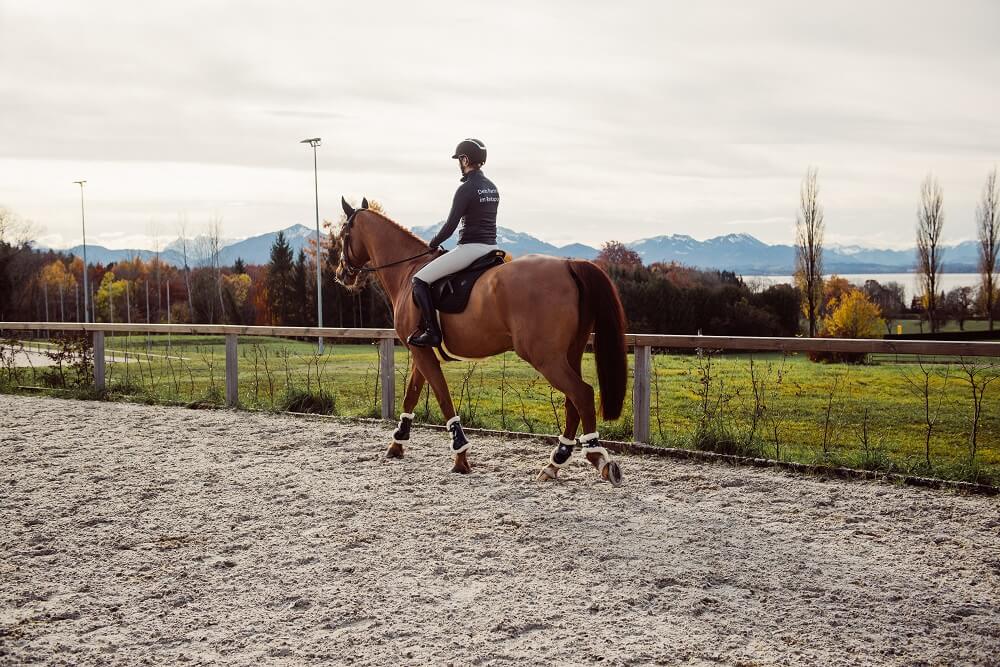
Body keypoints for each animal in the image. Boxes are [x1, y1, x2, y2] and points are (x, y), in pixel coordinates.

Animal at [340, 197, 628, 486]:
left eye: (343, 234)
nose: (341, 274)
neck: (406, 270)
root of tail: (568, 264)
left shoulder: (419, 351)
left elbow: (442, 397)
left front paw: (460, 456)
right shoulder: (420, 350)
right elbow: (412, 395)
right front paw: (397, 443)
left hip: (545, 357)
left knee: (582, 394)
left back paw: (598, 458)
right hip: (570, 353)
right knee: (573, 401)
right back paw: (555, 462)